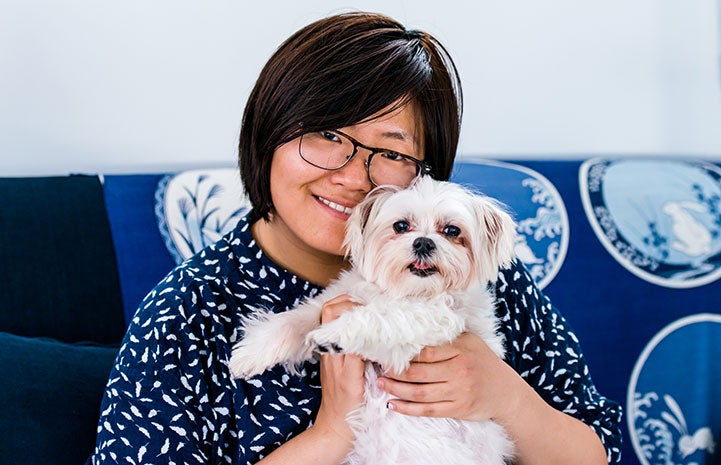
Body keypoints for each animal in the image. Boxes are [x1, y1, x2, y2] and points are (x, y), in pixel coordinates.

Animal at [231, 176, 516, 462]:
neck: (405, 291)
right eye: (401, 226)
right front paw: (249, 355)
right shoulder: (334, 300)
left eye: (452, 231)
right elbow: (294, 321)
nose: (423, 242)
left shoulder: (431, 318)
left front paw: (334, 334)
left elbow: (379, 317)